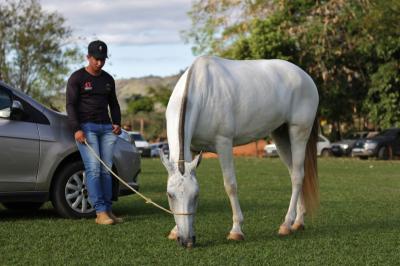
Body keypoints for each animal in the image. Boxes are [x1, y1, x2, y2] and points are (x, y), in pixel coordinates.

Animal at [159, 55, 318, 247]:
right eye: (170, 195)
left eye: (196, 195)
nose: (187, 241)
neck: (201, 92)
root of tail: (305, 76)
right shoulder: (191, 150)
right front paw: (175, 230)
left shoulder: (224, 143)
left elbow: (230, 185)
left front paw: (236, 230)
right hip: (280, 135)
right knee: (296, 172)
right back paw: (298, 221)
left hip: (298, 132)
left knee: (297, 176)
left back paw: (287, 224)